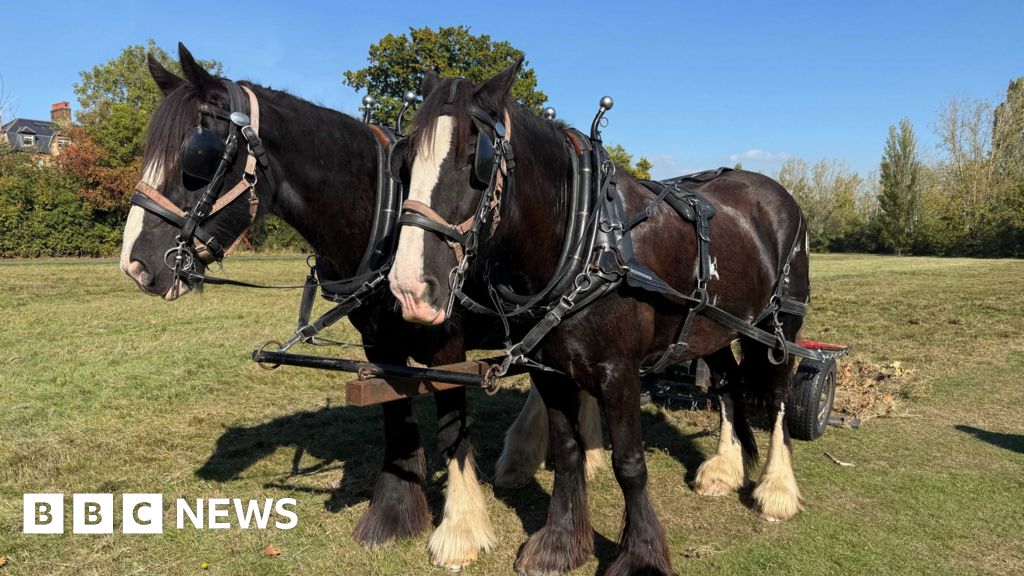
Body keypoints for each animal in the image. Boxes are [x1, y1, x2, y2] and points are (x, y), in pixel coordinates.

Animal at [118, 43, 605, 570]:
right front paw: (393, 515)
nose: (136, 263)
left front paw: (459, 532)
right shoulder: (378, 343)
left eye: (199, 156)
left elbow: (452, 428)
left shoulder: (448, 345)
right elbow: (396, 419)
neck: (383, 211)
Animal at [388, 61, 811, 576]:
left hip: (777, 328)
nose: (410, 288)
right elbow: (568, 452)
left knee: (778, 397)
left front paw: (641, 555)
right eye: (405, 161)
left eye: (477, 159)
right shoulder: (547, 369)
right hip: (713, 325)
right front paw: (561, 543)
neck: (587, 236)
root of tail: (775, 191)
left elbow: (629, 464)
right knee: (729, 385)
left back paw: (777, 489)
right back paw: (725, 469)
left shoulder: (619, 372)